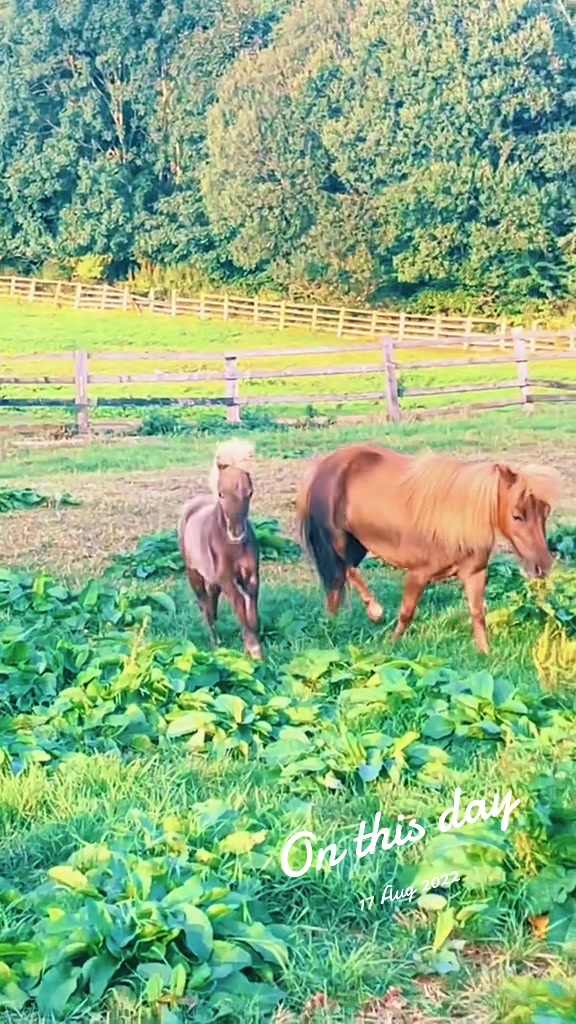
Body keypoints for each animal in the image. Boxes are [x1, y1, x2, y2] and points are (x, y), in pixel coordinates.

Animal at [178, 438, 263, 659]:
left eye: (249, 492)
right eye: (221, 493)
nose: (237, 533)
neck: (232, 547)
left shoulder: (252, 576)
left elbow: (252, 611)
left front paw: (253, 647)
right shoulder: (226, 579)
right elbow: (240, 606)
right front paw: (254, 650)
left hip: (212, 580)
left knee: (212, 603)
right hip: (194, 575)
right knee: (205, 607)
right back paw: (215, 643)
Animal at [296, 444, 561, 653]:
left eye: (546, 512)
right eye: (517, 515)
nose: (542, 567)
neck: (455, 520)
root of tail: (323, 466)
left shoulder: (475, 573)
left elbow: (478, 614)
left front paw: (486, 654)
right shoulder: (418, 573)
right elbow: (406, 613)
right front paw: (389, 645)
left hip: (357, 546)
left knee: (336, 584)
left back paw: (333, 625)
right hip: (336, 539)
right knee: (343, 569)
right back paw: (373, 611)